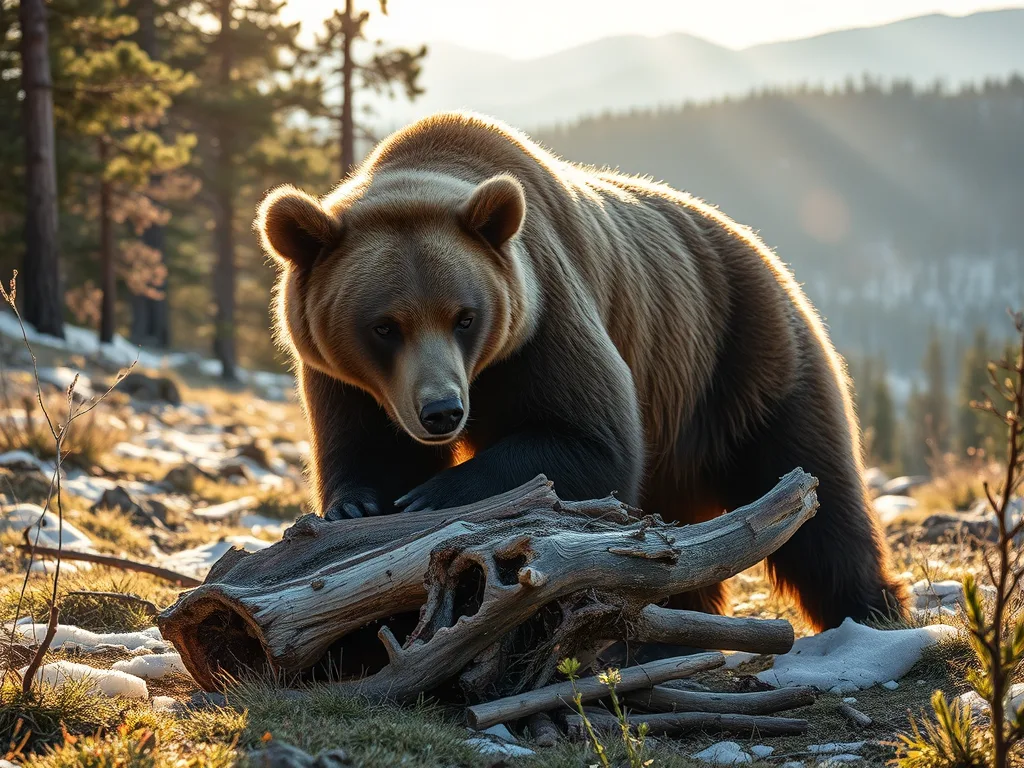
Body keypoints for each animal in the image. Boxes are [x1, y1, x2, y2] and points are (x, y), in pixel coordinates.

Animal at [256, 111, 907, 631]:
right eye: (384, 326)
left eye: (465, 316)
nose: (442, 411)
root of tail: (764, 252)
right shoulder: (348, 380)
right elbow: (365, 449)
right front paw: (358, 507)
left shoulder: (543, 316)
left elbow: (590, 442)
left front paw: (430, 498)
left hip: (743, 355)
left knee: (815, 494)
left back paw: (871, 609)